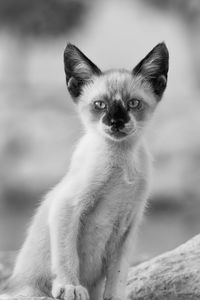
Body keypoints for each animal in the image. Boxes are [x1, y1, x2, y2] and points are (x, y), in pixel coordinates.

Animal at [0, 42, 169, 300]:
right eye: (100, 105)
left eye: (133, 104)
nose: (116, 123)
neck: (122, 160)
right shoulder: (67, 207)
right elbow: (67, 256)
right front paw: (70, 287)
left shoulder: (128, 226)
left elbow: (118, 275)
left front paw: (115, 296)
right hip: (30, 292)